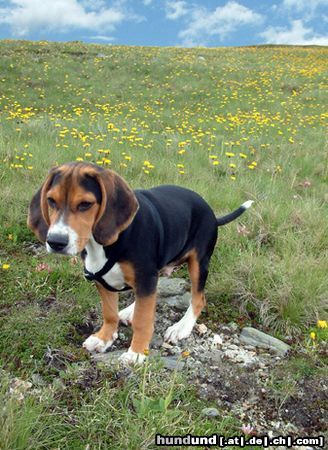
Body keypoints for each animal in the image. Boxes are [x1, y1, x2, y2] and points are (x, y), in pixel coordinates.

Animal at [28, 163, 254, 364]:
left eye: (85, 204)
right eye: (51, 201)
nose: (55, 242)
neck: (104, 244)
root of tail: (211, 213)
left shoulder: (145, 276)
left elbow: (143, 320)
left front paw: (136, 352)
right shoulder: (103, 279)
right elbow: (109, 313)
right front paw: (104, 338)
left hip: (198, 263)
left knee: (198, 299)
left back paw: (181, 327)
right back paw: (130, 310)